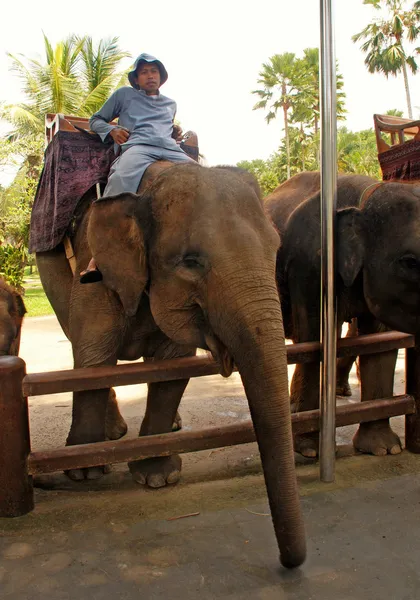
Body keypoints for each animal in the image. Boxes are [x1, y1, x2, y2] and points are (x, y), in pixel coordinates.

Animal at [36, 161, 306, 568]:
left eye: (275, 249)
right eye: (190, 262)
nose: (292, 563)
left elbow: (173, 366)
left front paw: (158, 477)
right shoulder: (93, 269)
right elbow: (94, 356)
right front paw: (85, 472)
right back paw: (111, 436)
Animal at [264, 172, 420, 460]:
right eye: (410, 262)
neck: (364, 198)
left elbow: (379, 342)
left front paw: (385, 449)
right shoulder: (309, 264)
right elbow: (312, 337)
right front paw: (311, 451)